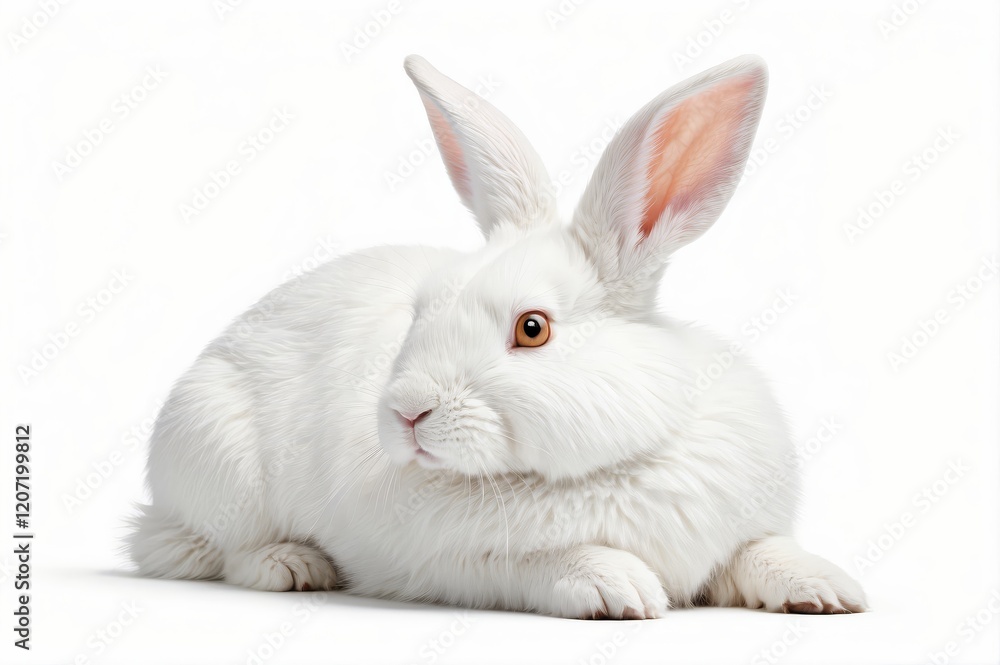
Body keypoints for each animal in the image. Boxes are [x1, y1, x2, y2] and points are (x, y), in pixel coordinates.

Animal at [127, 54, 867, 619]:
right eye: (418, 313)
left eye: (531, 328)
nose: (406, 412)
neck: (614, 462)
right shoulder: (453, 563)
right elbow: (546, 562)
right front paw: (619, 587)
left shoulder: (741, 527)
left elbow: (762, 550)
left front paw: (828, 588)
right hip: (218, 451)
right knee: (226, 550)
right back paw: (293, 563)